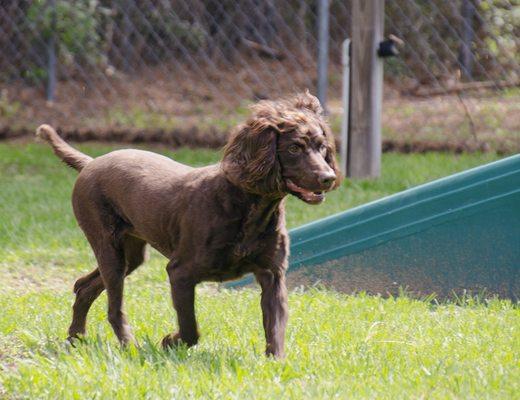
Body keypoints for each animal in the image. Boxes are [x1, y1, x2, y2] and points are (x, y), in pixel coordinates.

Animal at [35, 92, 338, 358]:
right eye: (294, 148)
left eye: (322, 146)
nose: (329, 178)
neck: (248, 208)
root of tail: (91, 162)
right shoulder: (180, 272)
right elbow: (191, 329)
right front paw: (170, 341)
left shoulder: (272, 275)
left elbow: (275, 330)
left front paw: (275, 365)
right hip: (108, 247)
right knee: (113, 308)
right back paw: (129, 346)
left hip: (130, 254)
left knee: (83, 286)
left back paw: (76, 338)